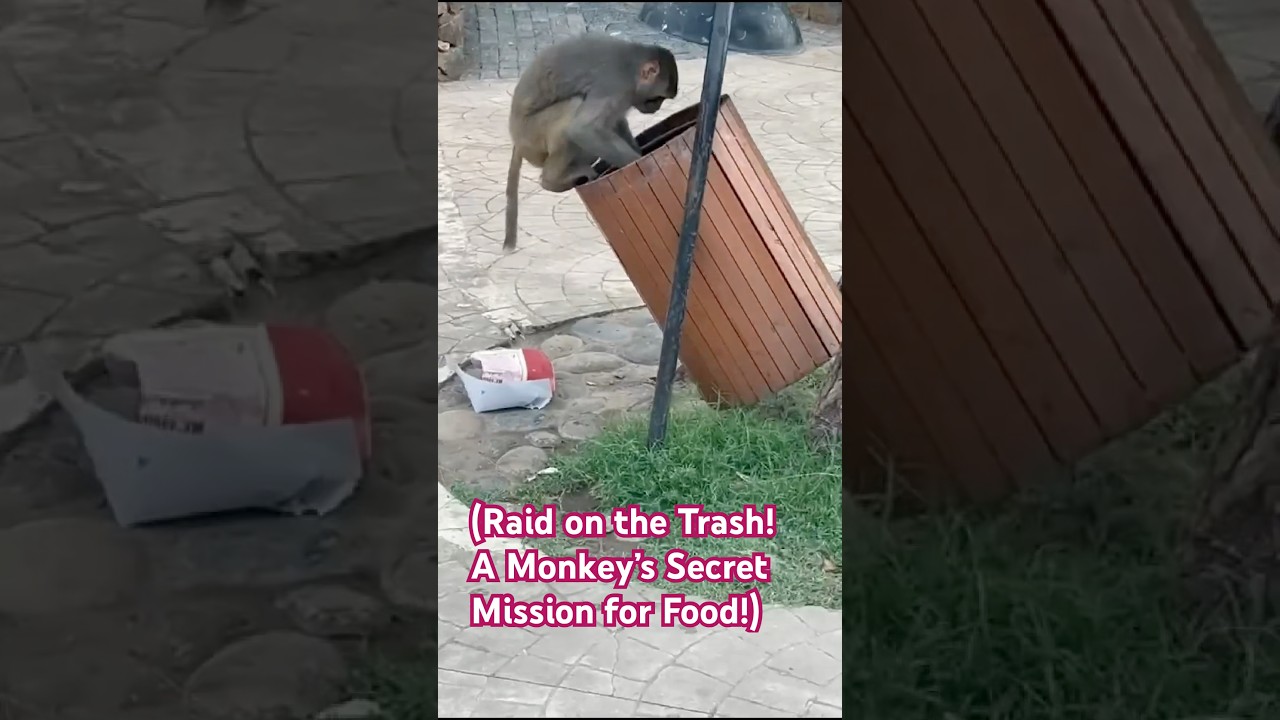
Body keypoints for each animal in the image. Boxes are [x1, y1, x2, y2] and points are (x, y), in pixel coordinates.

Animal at [503, 35, 679, 251]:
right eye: (658, 98)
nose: (657, 108)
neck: (632, 68)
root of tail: (516, 139)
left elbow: (614, 121)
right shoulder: (616, 85)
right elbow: (583, 129)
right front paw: (638, 162)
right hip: (533, 135)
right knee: (574, 106)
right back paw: (552, 180)